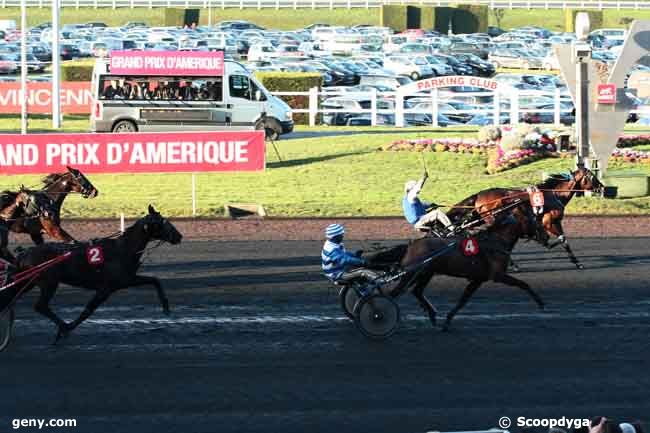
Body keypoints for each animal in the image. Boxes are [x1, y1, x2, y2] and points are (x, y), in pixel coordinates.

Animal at [15, 204, 182, 342]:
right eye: (163, 222)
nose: (179, 236)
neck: (123, 249)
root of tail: (24, 252)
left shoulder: (126, 280)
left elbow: (154, 280)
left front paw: (166, 307)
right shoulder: (106, 288)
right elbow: (87, 310)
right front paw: (66, 329)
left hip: (28, 283)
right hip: (49, 283)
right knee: (40, 306)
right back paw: (62, 326)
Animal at [380, 204, 548, 330]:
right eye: (535, 221)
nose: (546, 237)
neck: (495, 240)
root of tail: (411, 245)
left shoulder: (478, 279)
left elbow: (463, 300)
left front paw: (447, 321)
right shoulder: (498, 275)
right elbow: (523, 284)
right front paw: (541, 303)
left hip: (426, 273)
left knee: (417, 291)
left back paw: (432, 315)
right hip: (412, 273)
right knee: (393, 294)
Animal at [446, 166, 604, 270]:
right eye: (592, 176)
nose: (602, 187)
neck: (554, 194)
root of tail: (479, 194)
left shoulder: (555, 221)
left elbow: (564, 240)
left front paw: (576, 262)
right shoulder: (548, 221)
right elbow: (560, 238)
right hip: (493, 219)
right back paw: (512, 264)